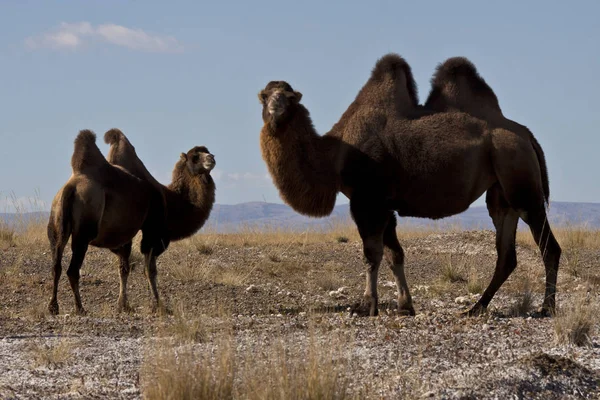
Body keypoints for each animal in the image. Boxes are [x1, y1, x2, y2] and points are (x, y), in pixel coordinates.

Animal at [46, 130, 169, 314]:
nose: (164, 243)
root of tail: (70, 188)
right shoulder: (145, 229)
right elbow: (142, 268)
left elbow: (125, 267)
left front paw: (124, 304)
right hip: (83, 232)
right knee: (72, 270)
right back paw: (80, 307)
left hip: (56, 223)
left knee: (56, 265)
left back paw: (53, 307)